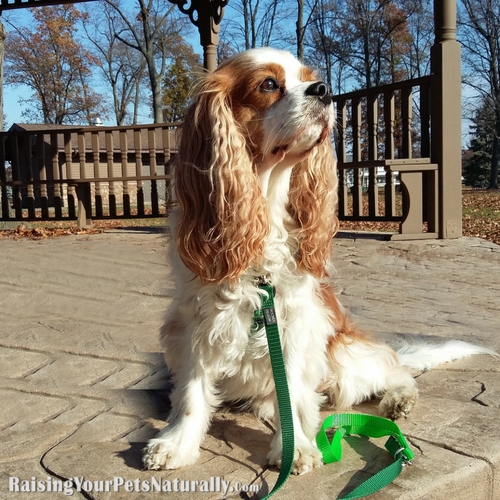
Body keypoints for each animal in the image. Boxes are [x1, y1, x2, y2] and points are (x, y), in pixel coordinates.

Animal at [143, 48, 494, 474]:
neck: (264, 205)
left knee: (396, 369)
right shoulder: (196, 322)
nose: (325, 90)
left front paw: (295, 447)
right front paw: (177, 444)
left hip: (343, 359)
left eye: (310, 78)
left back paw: (398, 400)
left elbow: (293, 388)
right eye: (269, 84)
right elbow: (193, 391)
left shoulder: (295, 322)